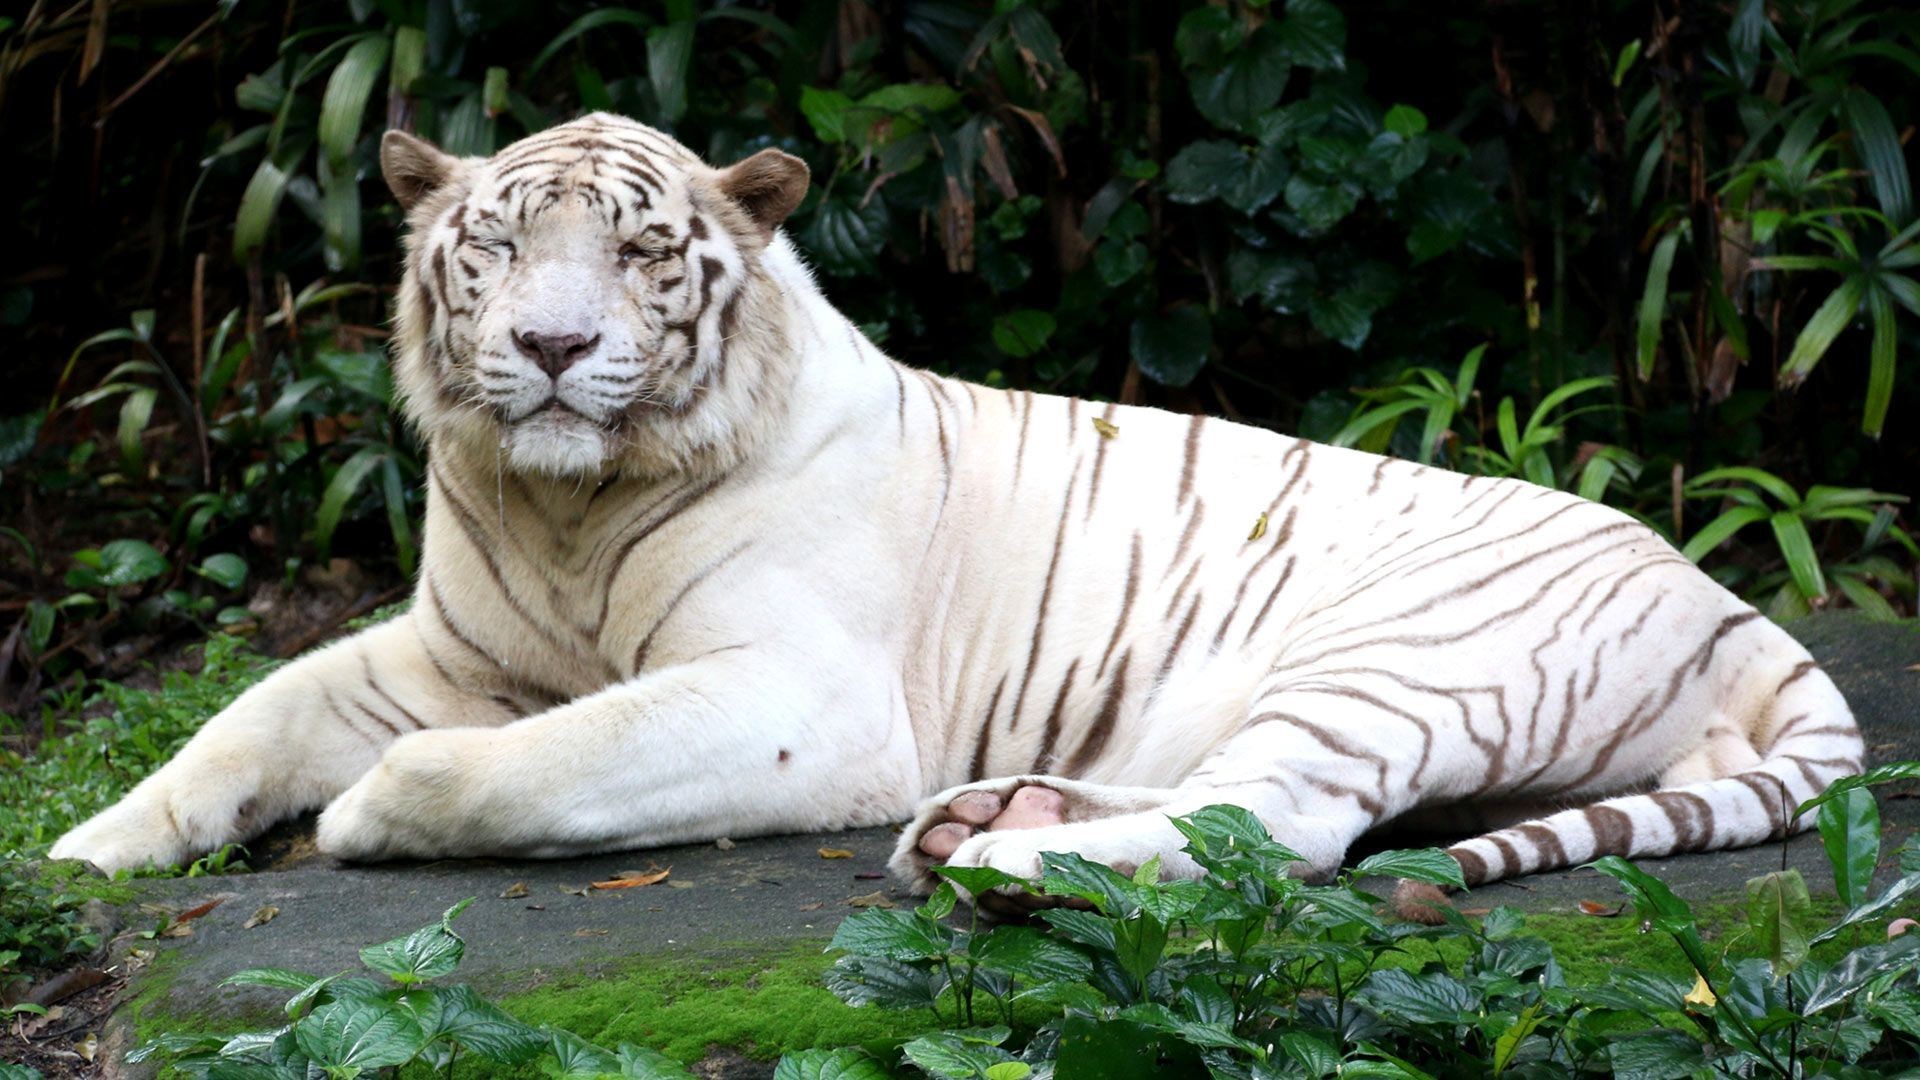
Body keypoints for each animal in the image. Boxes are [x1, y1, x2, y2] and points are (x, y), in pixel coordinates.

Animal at [51, 114, 1863, 915]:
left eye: (638, 252)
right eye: (495, 245)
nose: (553, 350)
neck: (568, 506)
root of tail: (1739, 606)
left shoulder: (800, 701)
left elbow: (513, 763)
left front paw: (365, 819)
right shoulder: (449, 652)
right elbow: (247, 712)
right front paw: (90, 847)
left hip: (1392, 651)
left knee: (1276, 826)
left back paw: (1000, 861)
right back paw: (991, 819)